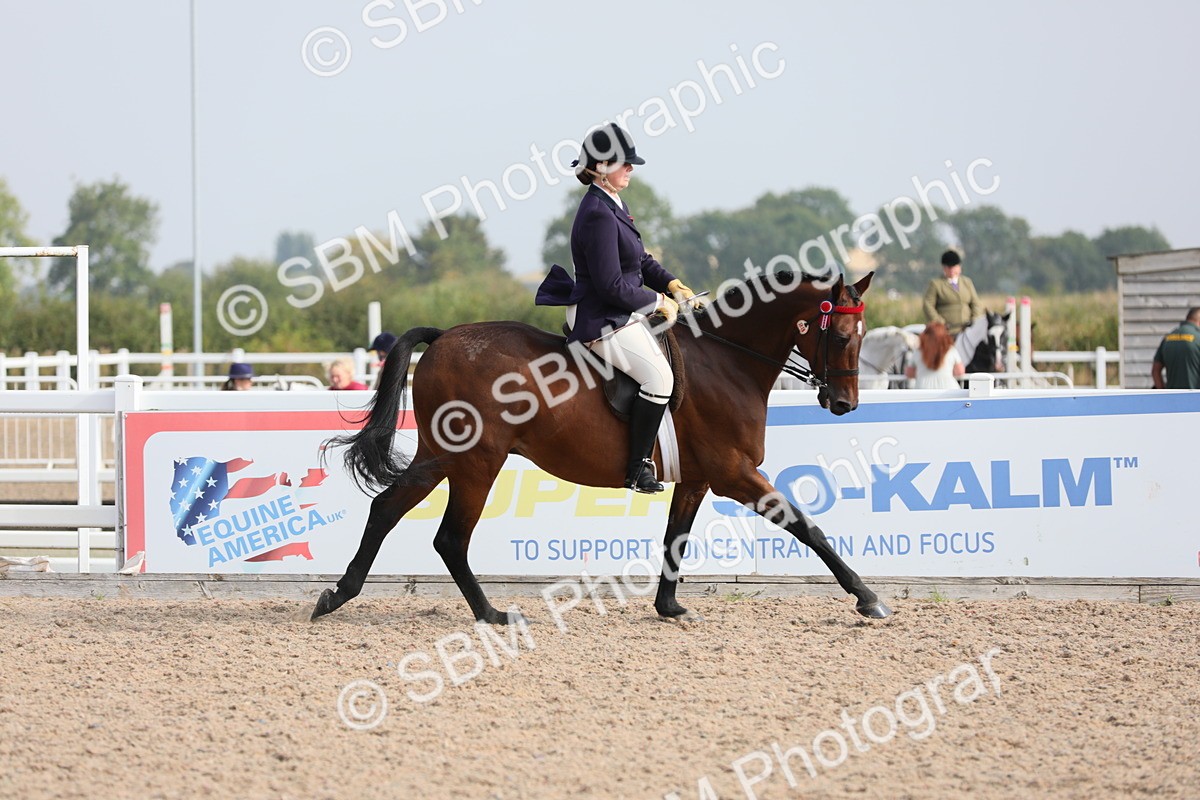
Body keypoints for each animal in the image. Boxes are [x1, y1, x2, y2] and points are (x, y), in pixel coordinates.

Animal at [311, 268, 892, 625]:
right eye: (842, 337)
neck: (727, 361)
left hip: (440, 455)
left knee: (386, 508)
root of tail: (445, 336)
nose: (845, 403)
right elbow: (807, 526)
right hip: (477, 461)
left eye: (864, 336)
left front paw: (670, 607)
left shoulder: (698, 477)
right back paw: (492, 615)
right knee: (450, 538)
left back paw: (337, 594)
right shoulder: (734, 473)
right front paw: (867, 598)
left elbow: (675, 537)